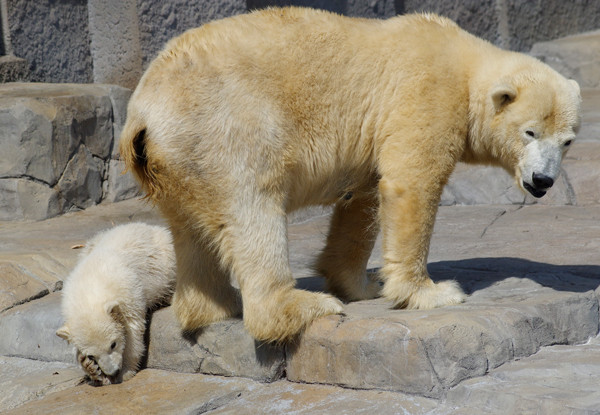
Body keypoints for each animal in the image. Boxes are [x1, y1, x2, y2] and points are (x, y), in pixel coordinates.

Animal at [118, 7, 580, 344]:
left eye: (568, 141)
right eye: (530, 132)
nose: (543, 181)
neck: (464, 60)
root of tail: (142, 115)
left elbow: (363, 202)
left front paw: (363, 284)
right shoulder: (425, 92)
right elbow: (412, 184)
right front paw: (432, 292)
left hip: (178, 162)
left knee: (190, 229)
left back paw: (213, 306)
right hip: (225, 125)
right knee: (254, 207)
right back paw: (304, 307)